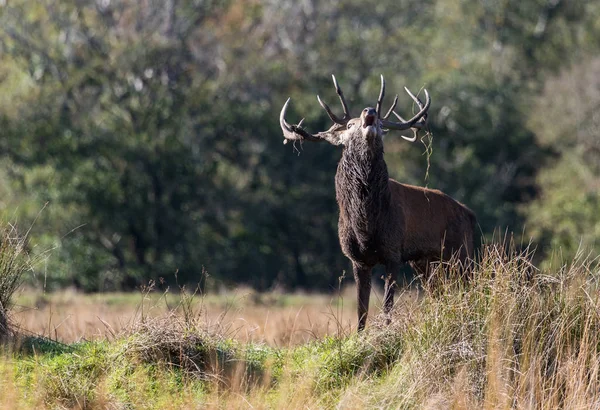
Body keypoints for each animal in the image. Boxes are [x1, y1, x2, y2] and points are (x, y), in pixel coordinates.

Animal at [278, 74, 476, 330]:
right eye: (349, 125)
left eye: (382, 125)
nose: (370, 111)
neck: (366, 224)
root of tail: (469, 213)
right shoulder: (357, 259)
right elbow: (361, 311)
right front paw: (360, 335)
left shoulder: (393, 252)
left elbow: (387, 307)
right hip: (427, 262)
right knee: (440, 293)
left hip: (461, 253)